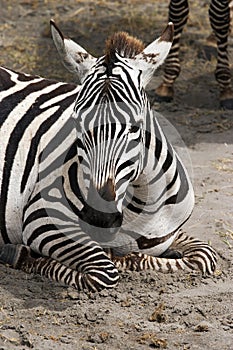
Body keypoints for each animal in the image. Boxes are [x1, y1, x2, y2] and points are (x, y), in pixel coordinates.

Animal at [0, 20, 217, 292]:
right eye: (77, 123)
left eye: (135, 127)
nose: (98, 217)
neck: (138, 208)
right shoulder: (43, 218)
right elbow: (104, 271)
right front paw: (23, 255)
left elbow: (204, 256)